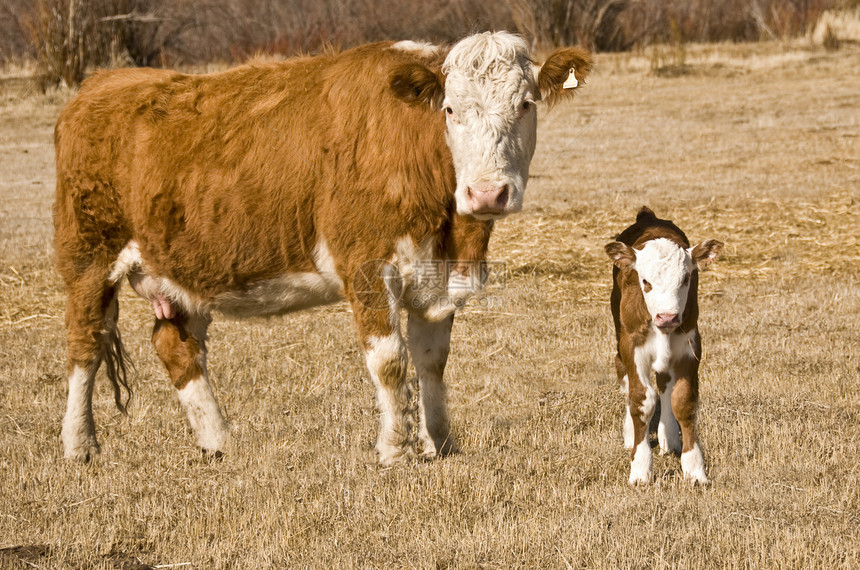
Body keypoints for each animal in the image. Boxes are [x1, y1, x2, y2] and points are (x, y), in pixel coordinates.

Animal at [604, 206, 724, 482]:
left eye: (686, 278)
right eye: (645, 281)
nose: (667, 317)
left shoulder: (690, 345)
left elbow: (683, 400)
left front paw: (694, 467)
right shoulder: (632, 346)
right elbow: (641, 400)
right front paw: (640, 468)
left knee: (664, 385)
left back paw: (668, 437)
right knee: (626, 380)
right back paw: (630, 434)